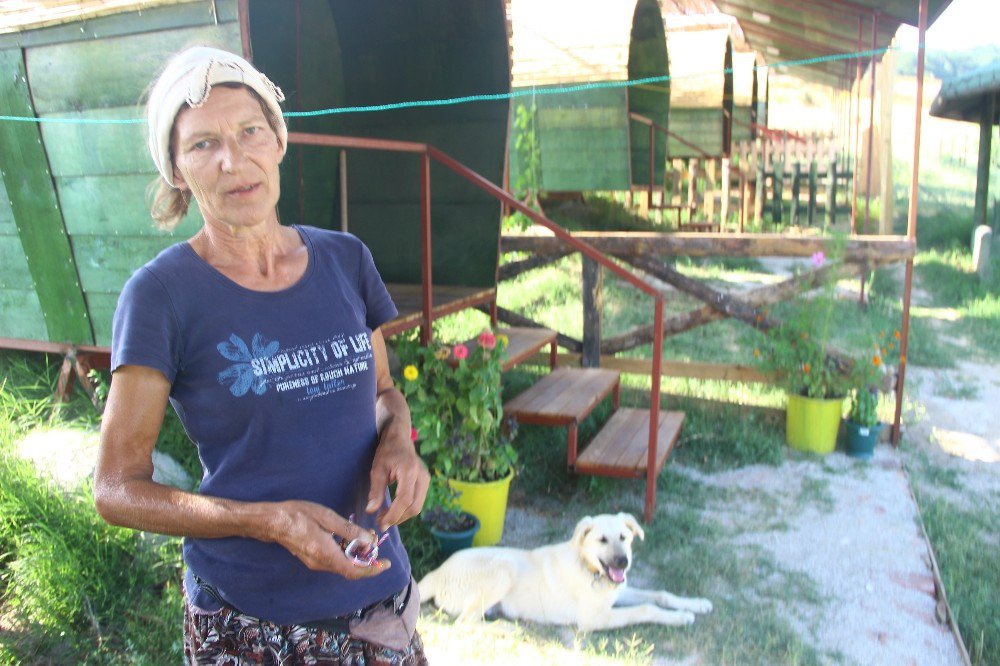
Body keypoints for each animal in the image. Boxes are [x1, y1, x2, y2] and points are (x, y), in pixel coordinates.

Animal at [418, 508, 716, 628]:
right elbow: (645, 609)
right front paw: (681, 618)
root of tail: (435, 573)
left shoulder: (620, 591)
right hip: (504, 568)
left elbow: (660, 595)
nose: (623, 562)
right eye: (602, 540)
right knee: (463, 623)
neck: (591, 570)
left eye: (624, 537)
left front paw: (697, 604)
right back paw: (506, 628)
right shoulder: (593, 619)